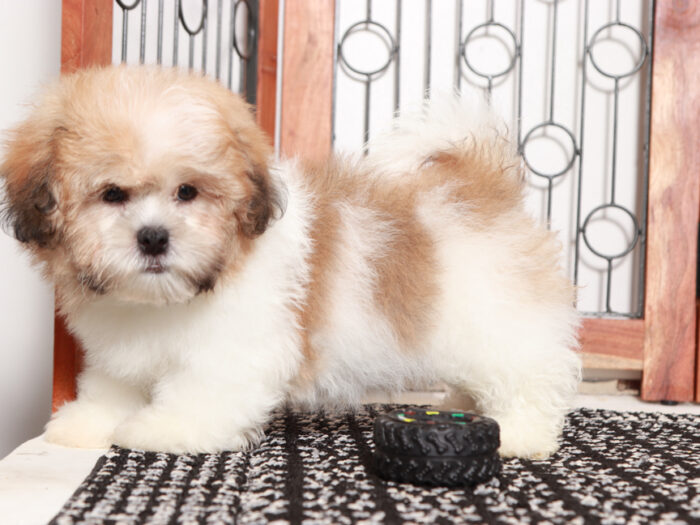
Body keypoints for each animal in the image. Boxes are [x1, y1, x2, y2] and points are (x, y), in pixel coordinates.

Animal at [0, 66, 580, 458]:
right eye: (112, 194)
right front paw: (85, 423)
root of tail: (482, 185)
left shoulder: (233, 349)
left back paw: (520, 432)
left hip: (499, 319)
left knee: (527, 375)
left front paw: (164, 430)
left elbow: (202, 394)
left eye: (187, 192)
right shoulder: (124, 347)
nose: (153, 238)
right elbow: (112, 384)